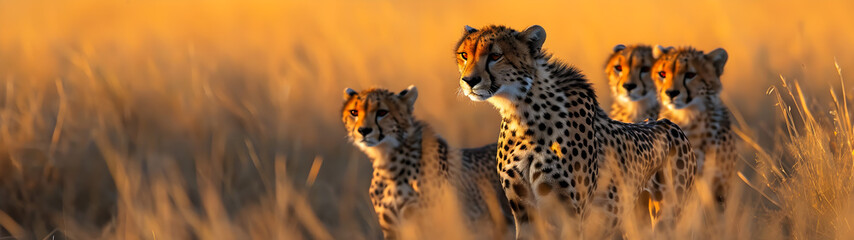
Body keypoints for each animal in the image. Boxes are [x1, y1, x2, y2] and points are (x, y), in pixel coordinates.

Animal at [454, 24, 696, 238]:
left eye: (496, 56)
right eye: (464, 55)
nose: (469, 81)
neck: (522, 113)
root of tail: (670, 124)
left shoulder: (570, 214)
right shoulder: (524, 211)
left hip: (666, 217)